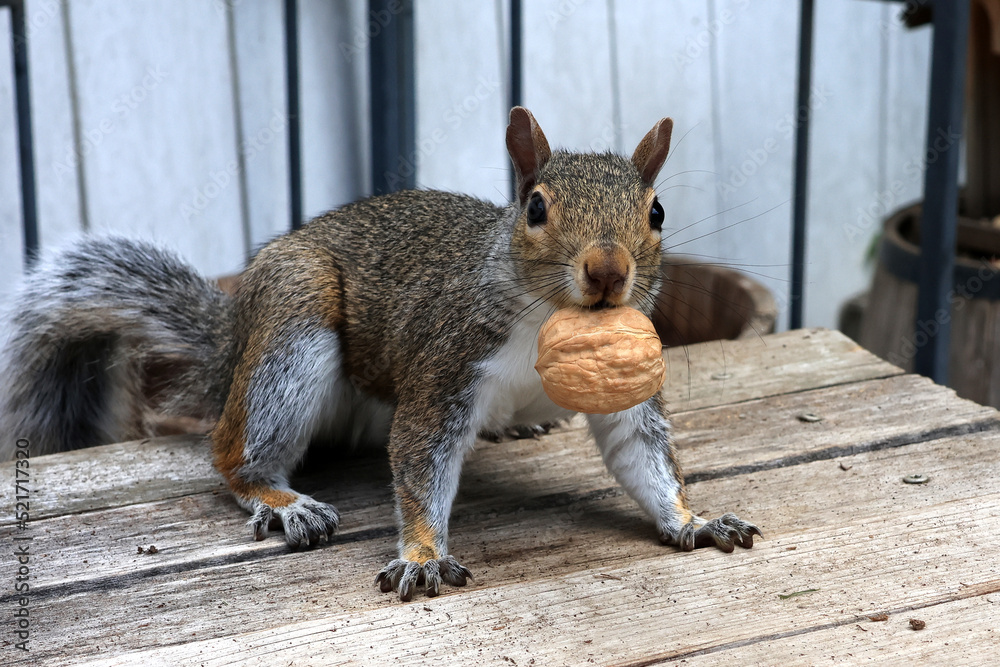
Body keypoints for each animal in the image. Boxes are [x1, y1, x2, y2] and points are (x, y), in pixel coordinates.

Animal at [0, 107, 760, 600]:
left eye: (656, 212)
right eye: (535, 207)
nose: (607, 271)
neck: (545, 325)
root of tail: (233, 342)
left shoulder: (628, 387)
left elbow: (644, 457)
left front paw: (693, 519)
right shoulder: (447, 366)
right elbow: (421, 462)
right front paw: (423, 555)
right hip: (292, 329)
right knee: (233, 454)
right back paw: (281, 498)